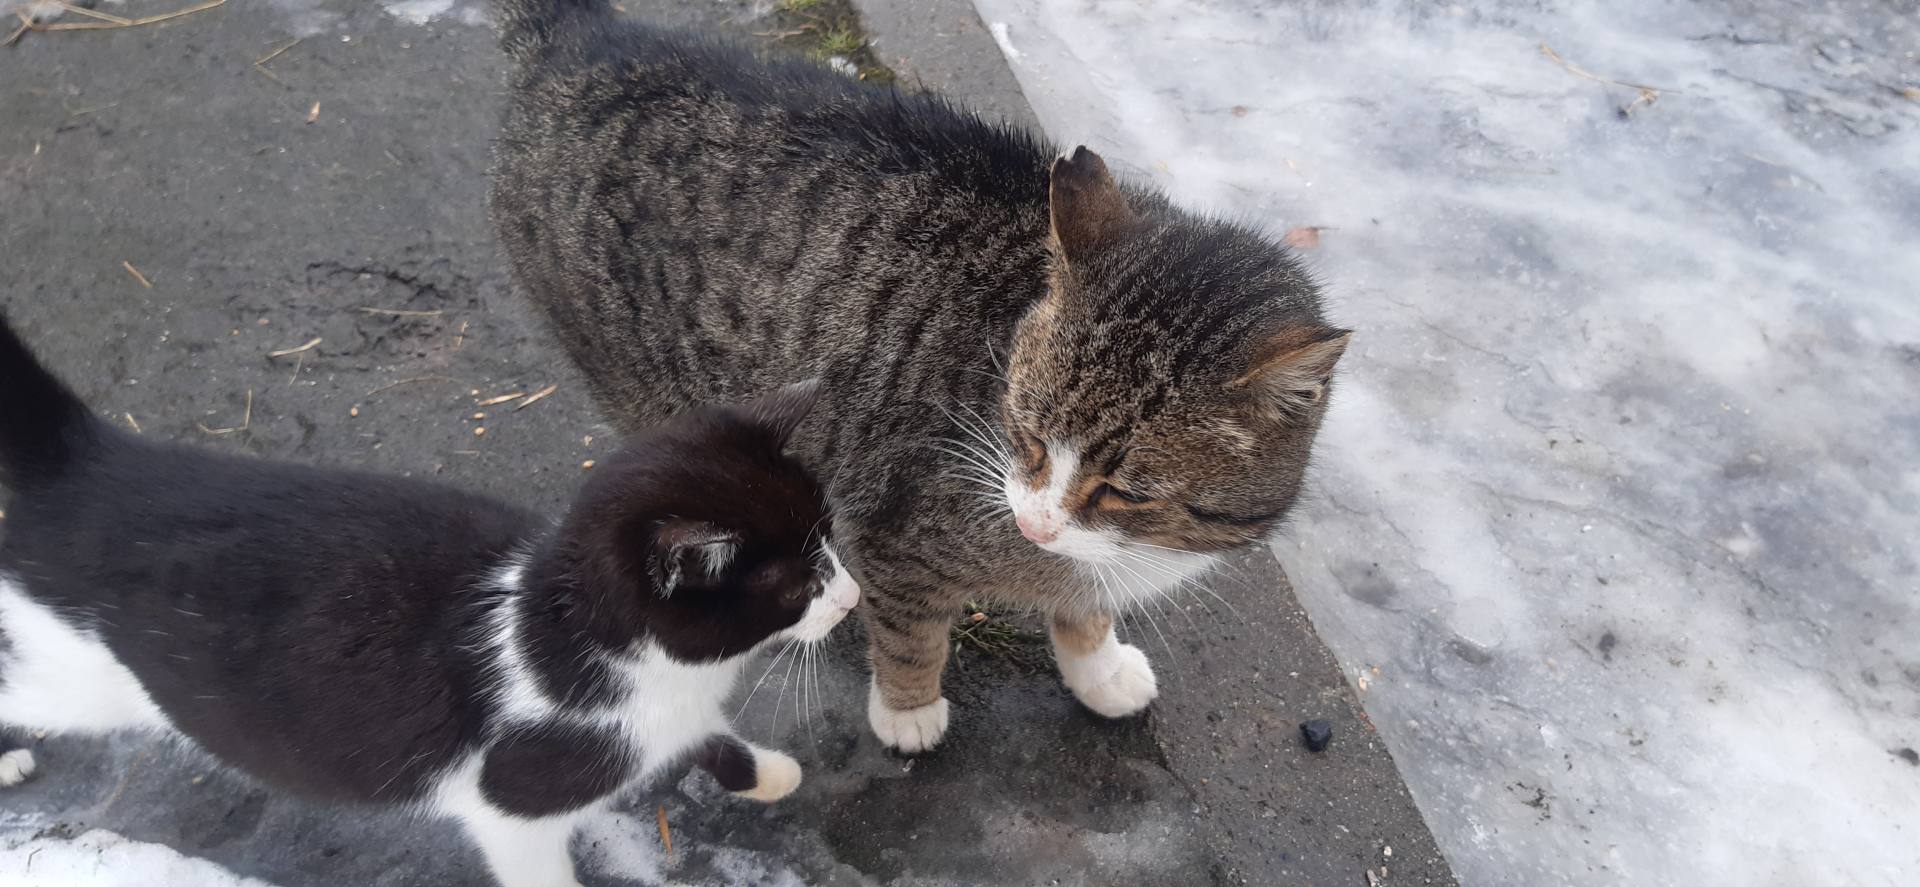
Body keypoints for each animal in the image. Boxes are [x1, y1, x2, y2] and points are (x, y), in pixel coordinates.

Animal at [0, 313, 859, 887]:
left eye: (830, 536)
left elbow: (701, 734)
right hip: (90, 679)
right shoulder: (511, 804)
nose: (850, 597)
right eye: (796, 585)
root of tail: (94, 469)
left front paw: (767, 771)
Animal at [488, 0, 1350, 753]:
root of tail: (578, 37)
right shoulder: (895, 535)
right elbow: (909, 632)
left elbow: (1082, 608)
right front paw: (909, 708)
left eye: (1128, 492)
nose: (1036, 525)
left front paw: (1097, 664)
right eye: (1026, 432)